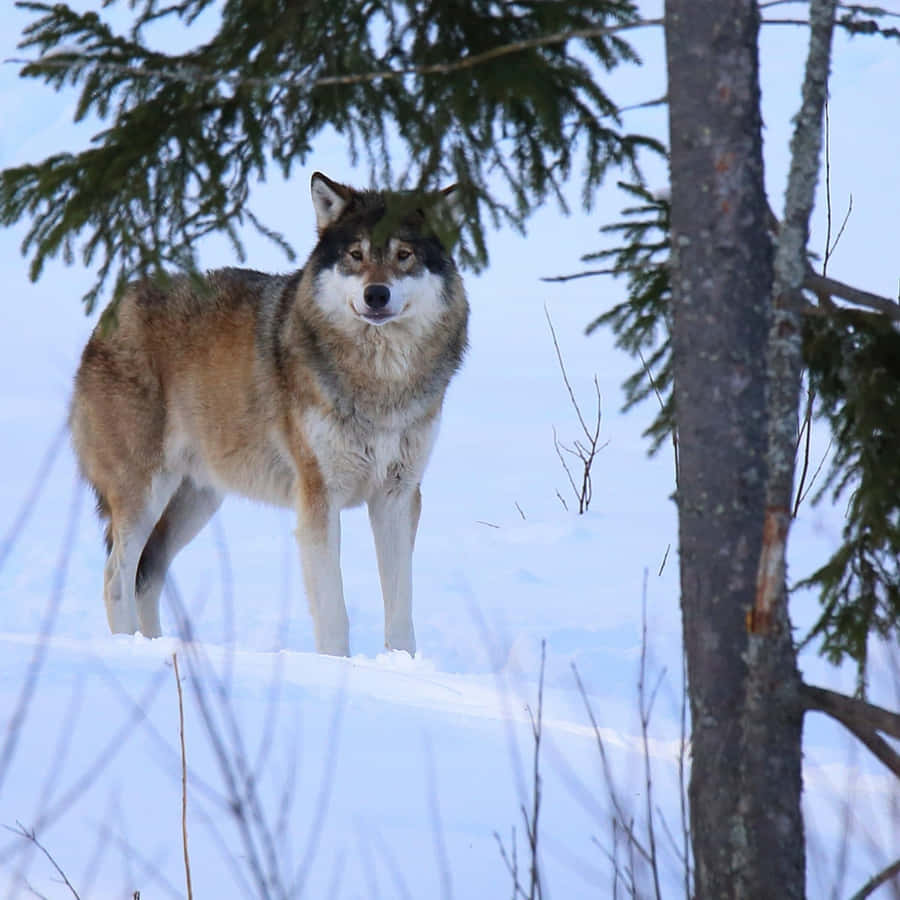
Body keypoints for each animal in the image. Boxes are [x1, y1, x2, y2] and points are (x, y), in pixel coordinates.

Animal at [69, 172, 469, 656]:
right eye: (355, 255)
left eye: (403, 256)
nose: (376, 294)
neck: (380, 382)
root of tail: (107, 313)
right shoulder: (318, 498)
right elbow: (333, 613)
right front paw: (336, 668)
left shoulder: (398, 496)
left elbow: (401, 613)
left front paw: (400, 667)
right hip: (145, 495)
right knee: (116, 577)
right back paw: (130, 649)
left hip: (196, 501)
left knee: (147, 577)